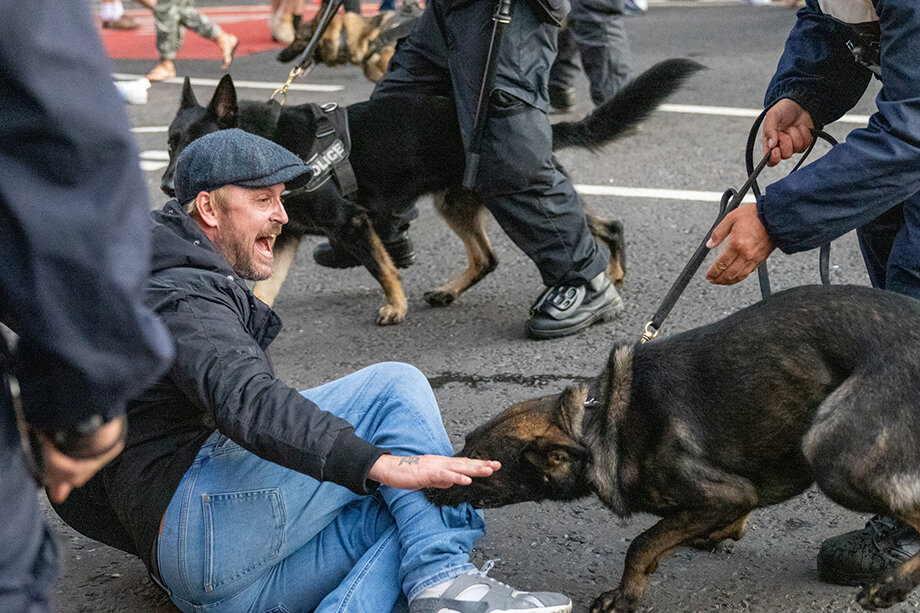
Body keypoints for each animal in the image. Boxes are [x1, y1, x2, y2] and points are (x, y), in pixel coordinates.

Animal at [428, 284, 920, 608]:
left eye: (479, 467)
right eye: (464, 442)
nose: (423, 484)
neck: (595, 423)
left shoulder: (725, 492)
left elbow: (642, 543)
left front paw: (626, 594)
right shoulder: (735, 497)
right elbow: (713, 526)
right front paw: (716, 535)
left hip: (832, 457)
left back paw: (893, 585)